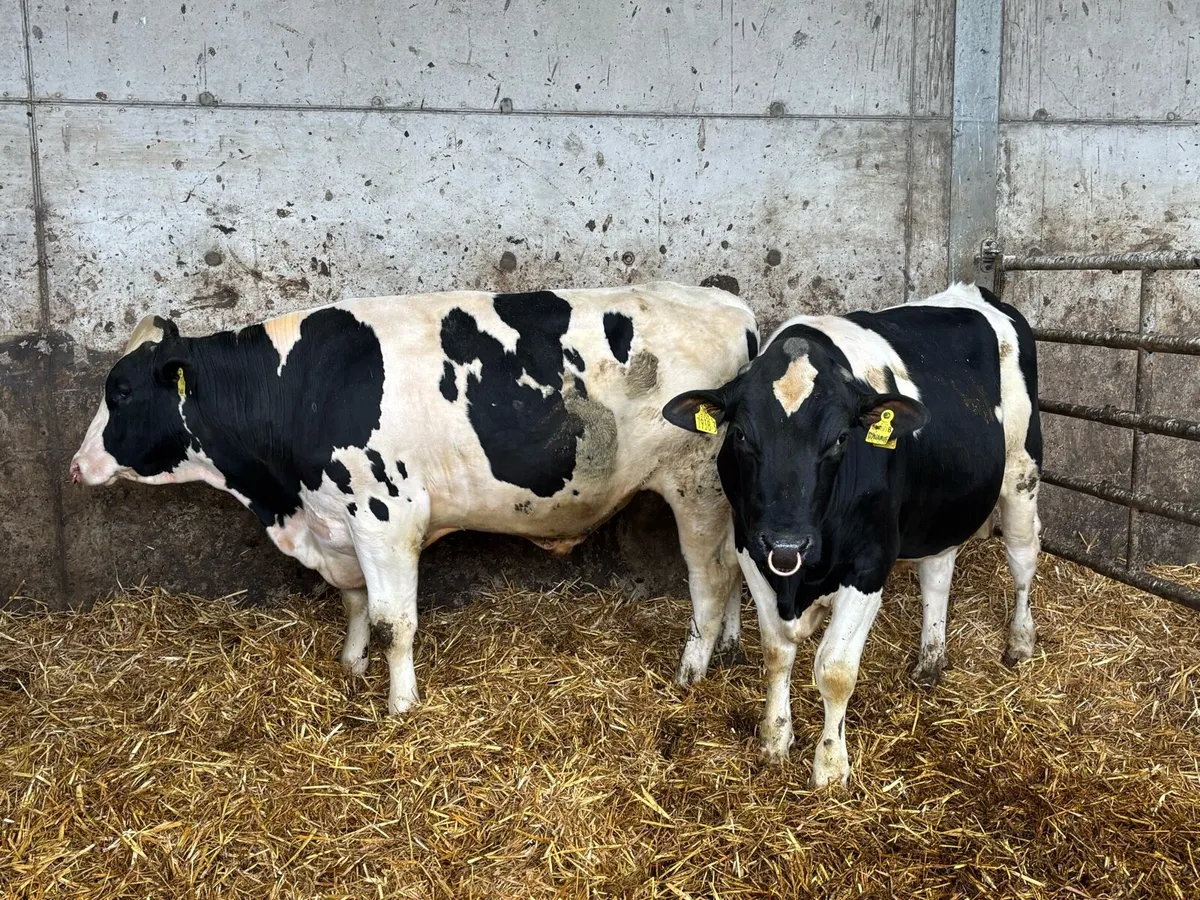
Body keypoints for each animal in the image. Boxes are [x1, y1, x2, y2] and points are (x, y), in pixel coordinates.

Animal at [71, 282, 758, 716]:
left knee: (710, 575)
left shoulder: (385, 513)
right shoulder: (337, 522)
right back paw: (727, 646)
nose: (76, 466)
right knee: (732, 567)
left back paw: (692, 670)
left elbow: (392, 621)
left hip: (694, 482)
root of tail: (728, 303)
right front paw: (351, 664)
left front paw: (400, 704)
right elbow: (353, 602)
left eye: (121, 392)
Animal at [662, 282, 1042, 788]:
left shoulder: (868, 565)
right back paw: (930, 659)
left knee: (1022, 560)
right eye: (740, 434)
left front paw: (830, 766)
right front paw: (774, 738)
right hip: (941, 504)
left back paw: (1019, 640)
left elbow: (835, 670)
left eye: (842, 438)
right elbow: (777, 653)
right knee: (938, 574)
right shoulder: (751, 551)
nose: (787, 543)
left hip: (1021, 473)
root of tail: (974, 290)